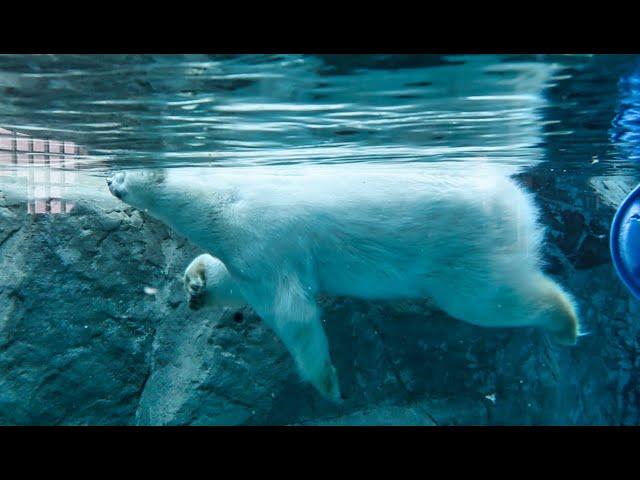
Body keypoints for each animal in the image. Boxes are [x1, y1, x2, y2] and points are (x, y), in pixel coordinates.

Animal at [109, 163, 580, 404]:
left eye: (124, 170)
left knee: (489, 300)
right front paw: (197, 283)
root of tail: (514, 200)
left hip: (459, 253)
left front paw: (328, 384)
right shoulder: (245, 249)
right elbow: (238, 279)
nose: (109, 179)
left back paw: (565, 321)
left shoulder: (261, 237)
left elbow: (293, 313)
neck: (222, 197)